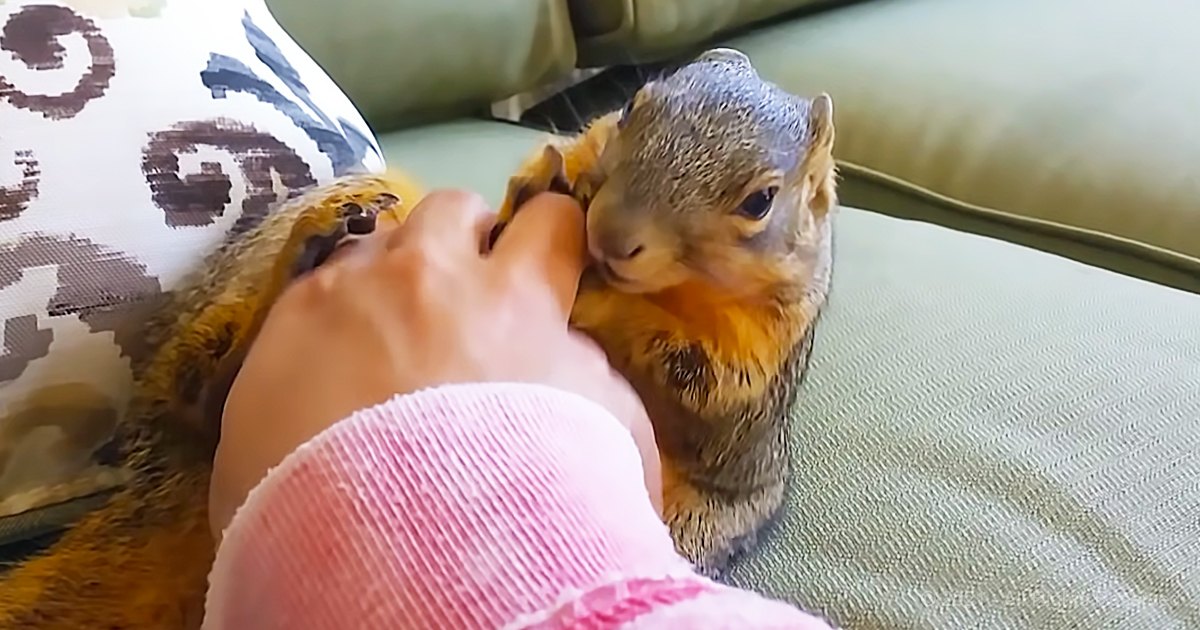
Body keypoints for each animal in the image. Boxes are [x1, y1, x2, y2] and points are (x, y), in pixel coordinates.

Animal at [0, 47, 836, 627]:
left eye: (760, 201)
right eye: (632, 104)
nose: (610, 234)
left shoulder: (746, 379)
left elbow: (692, 370)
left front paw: (600, 291)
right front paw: (539, 178)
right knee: (192, 392)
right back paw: (309, 245)